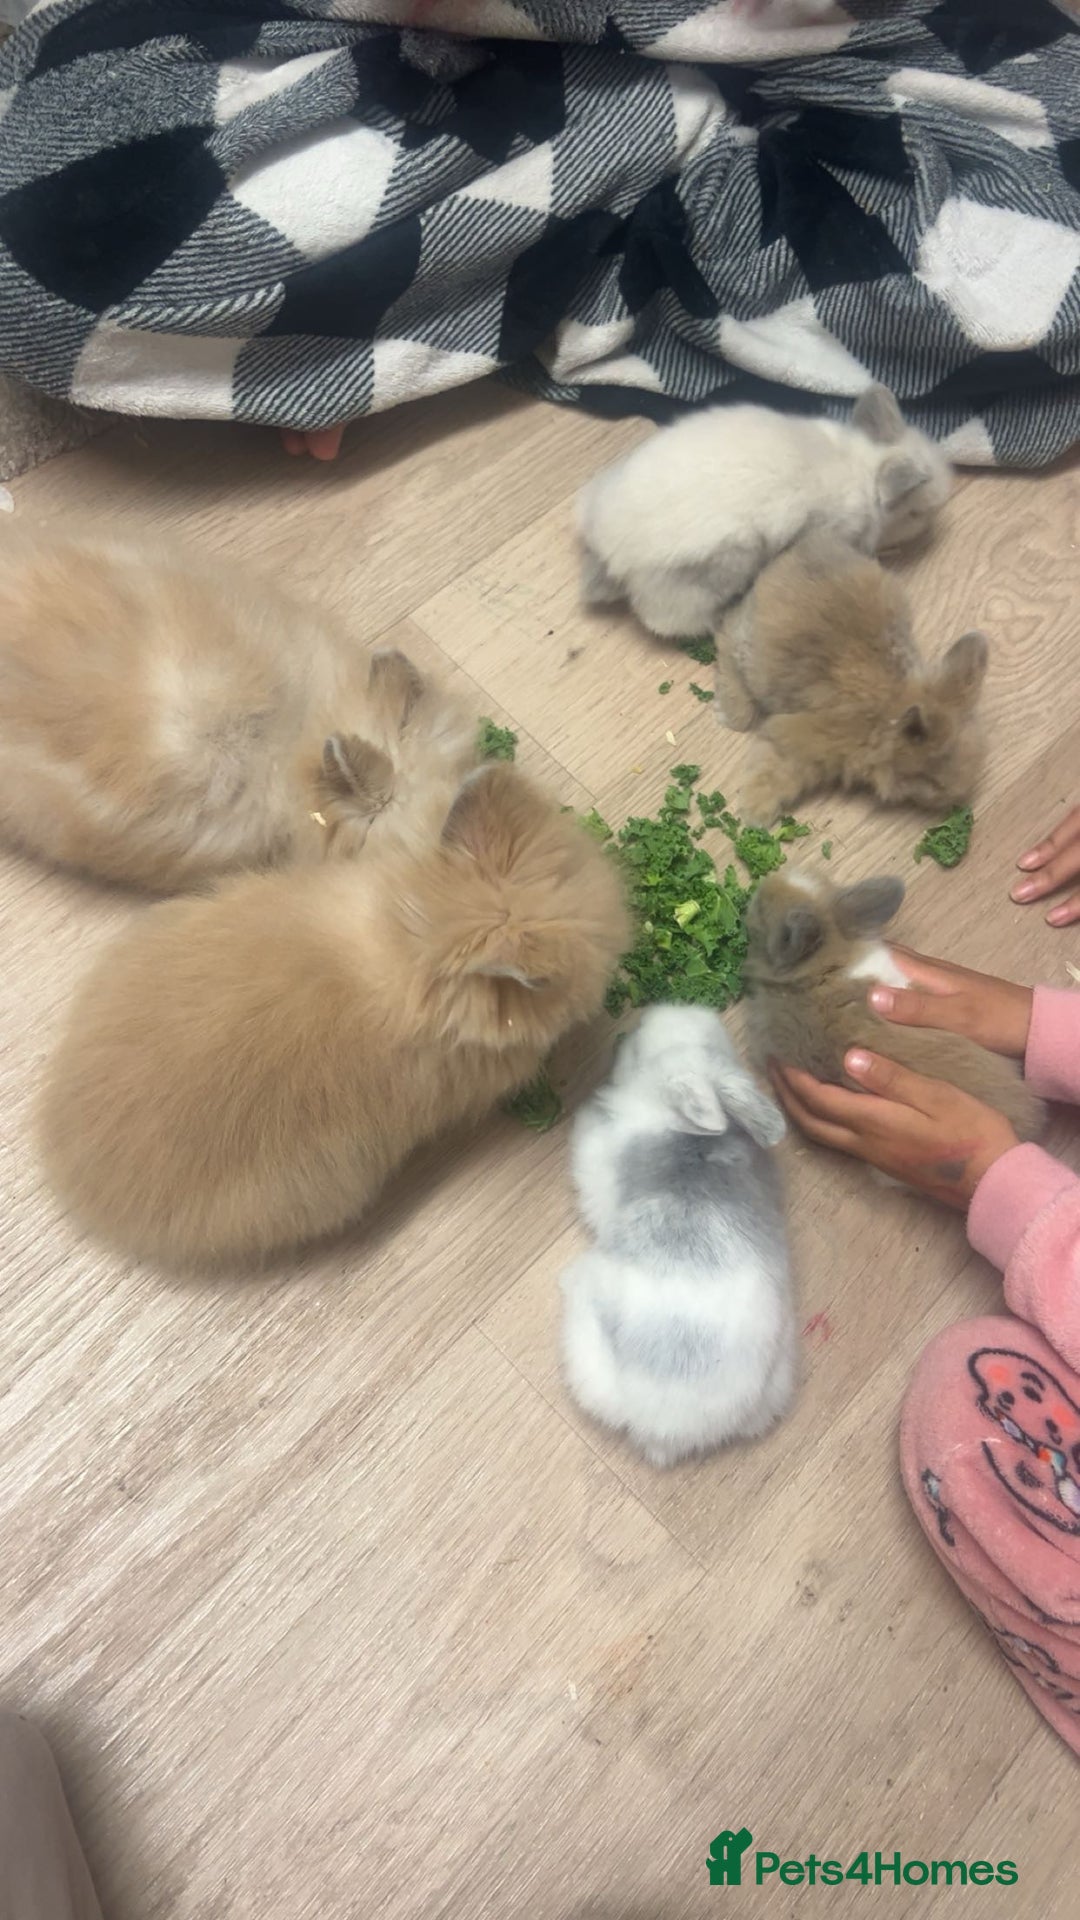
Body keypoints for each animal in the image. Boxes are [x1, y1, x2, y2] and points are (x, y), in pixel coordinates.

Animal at [576, 386, 951, 640]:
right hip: (719, 567)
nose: (931, 526)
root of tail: (609, 551)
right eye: (916, 514)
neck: (863, 467)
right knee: (667, 621)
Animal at [715, 531, 988, 824]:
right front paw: (754, 814)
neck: (885, 715)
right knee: (726, 637)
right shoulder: (801, 741)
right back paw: (730, 714)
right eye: (932, 778)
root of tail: (799, 550)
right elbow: (774, 771)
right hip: (751, 655)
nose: (953, 799)